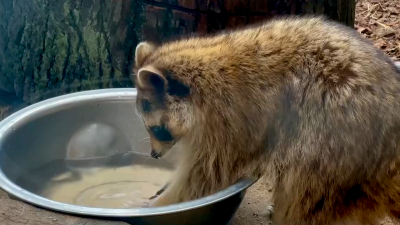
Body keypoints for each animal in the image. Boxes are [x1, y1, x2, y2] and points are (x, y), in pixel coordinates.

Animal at [133, 16, 400, 225]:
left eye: (158, 129)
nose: (153, 155)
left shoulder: (231, 121)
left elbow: (203, 176)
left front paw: (159, 202)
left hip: (338, 134)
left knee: (303, 191)